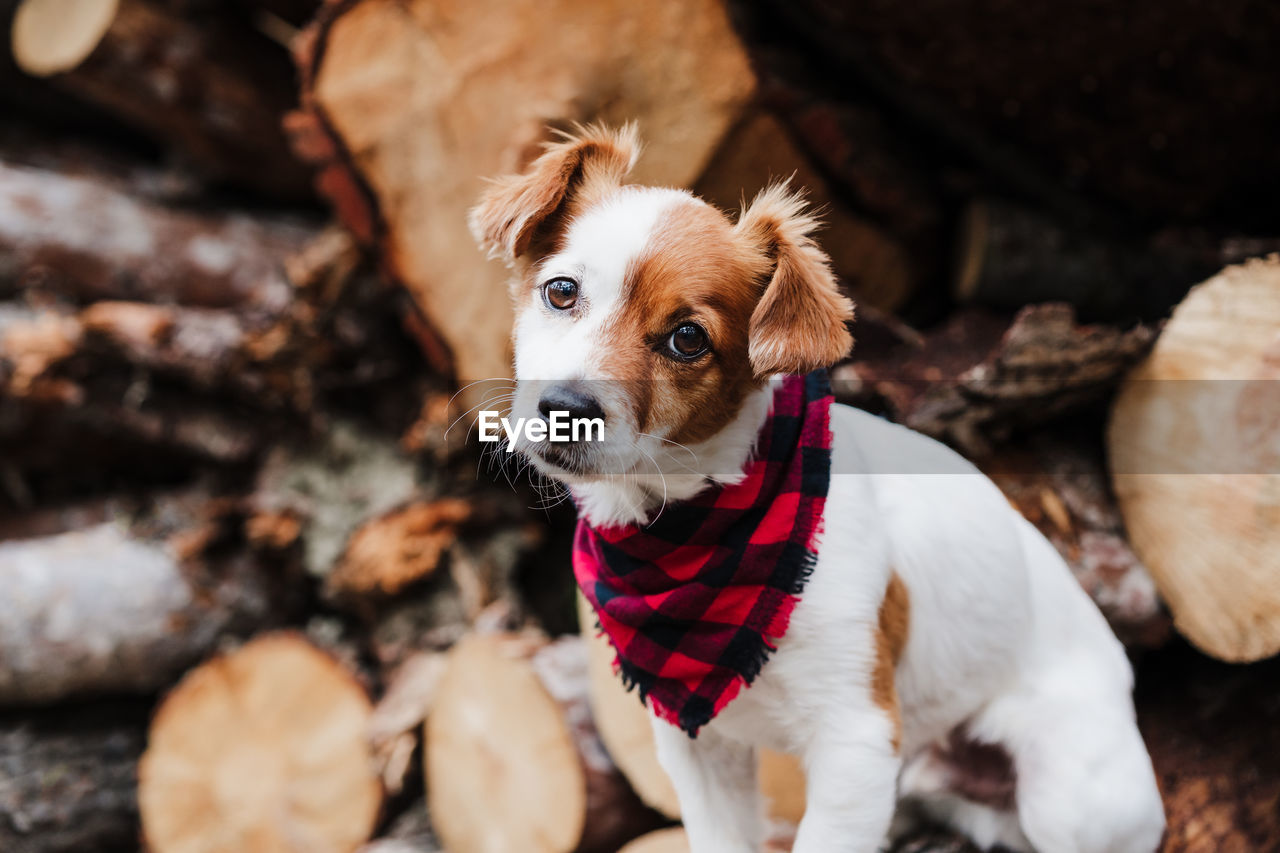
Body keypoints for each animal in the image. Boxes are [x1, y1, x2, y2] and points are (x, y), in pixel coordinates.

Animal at [473, 124, 1172, 850]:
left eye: (688, 338)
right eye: (561, 291)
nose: (565, 406)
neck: (687, 529)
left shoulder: (856, 738)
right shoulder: (699, 748)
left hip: (1069, 799)